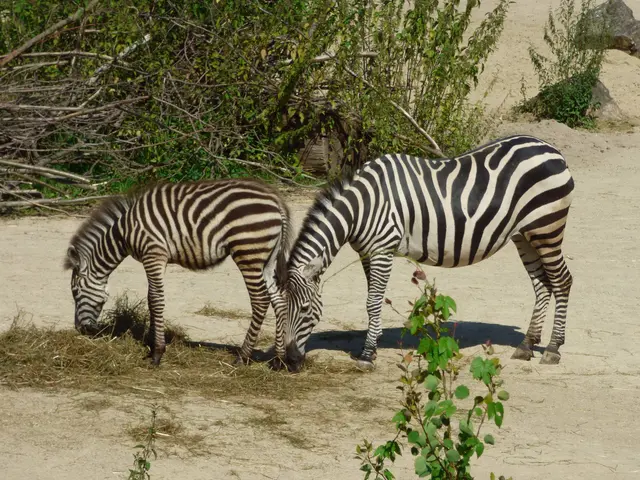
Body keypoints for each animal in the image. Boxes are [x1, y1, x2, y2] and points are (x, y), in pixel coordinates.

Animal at [64, 179, 292, 366]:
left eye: (75, 292)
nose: (80, 329)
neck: (123, 233)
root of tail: (276, 200)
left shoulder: (153, 254)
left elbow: (156, 299)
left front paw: (157, 354)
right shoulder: (157, 258)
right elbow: (151, 299)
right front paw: (151, 345)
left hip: (248, 252)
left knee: (260, 300)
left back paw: (242, 357)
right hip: (268, 259)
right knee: (279, 300)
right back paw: (279, 360)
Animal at [281, 135, 574, 371]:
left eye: (305, 308)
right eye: (280, 309)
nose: (290, 362)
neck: (362, 207)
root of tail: (550, 148)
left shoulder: (382, 249)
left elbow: (373, 301)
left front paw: (366, 355)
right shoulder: (366, 252)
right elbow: (372, 299)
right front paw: (373, 345)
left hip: (547, 228)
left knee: (562, 281)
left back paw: (552, 349)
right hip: (524, 235)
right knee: (542, 284)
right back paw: (527, 345)